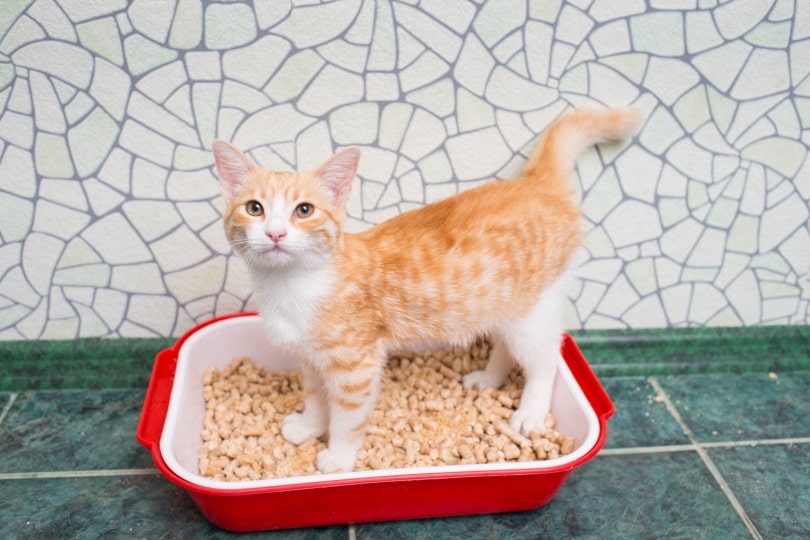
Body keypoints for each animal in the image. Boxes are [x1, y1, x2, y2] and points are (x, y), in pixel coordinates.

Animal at [211, 106, 640, 472]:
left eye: (304, 210)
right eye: (254, 208)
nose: (275, 233)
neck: (292, 285)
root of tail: (535, 185)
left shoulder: (356, 366)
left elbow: (348, 418)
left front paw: (338, 457)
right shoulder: (310, 357)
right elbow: (316, 397)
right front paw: (309, 426)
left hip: (532, 311)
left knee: (547, 357)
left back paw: (530, 411)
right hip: (500, 304)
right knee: (506, 344)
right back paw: (489, 379)